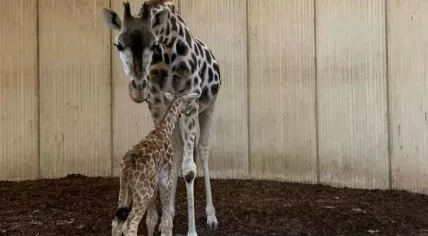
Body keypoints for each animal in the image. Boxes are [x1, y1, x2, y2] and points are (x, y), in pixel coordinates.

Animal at [110, 91, 197, 236]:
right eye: (189, 101)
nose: (189, 111)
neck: (164, 129)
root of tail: (127, 167)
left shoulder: (155, 182)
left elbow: (152, 219)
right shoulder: (165, 179)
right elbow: (166, 219)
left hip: (125, 188)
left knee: (117, 223)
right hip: (143, 193)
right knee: (130, 225)